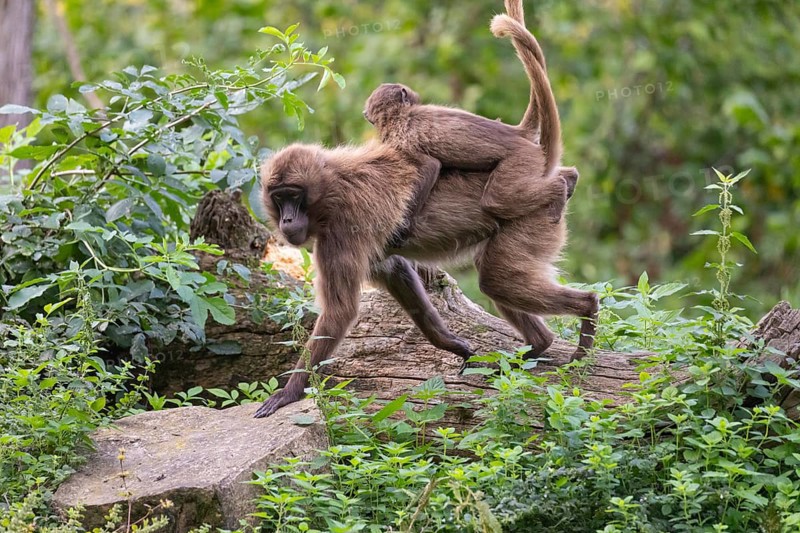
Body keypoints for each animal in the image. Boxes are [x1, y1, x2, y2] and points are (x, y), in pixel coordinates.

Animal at [362, 12, 571, 224]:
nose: (412, 95)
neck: (397, 116)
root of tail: (516, 132)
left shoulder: (398, 140)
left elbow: (431, 166)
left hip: (522, 156)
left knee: (497, 200)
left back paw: (559, 187)